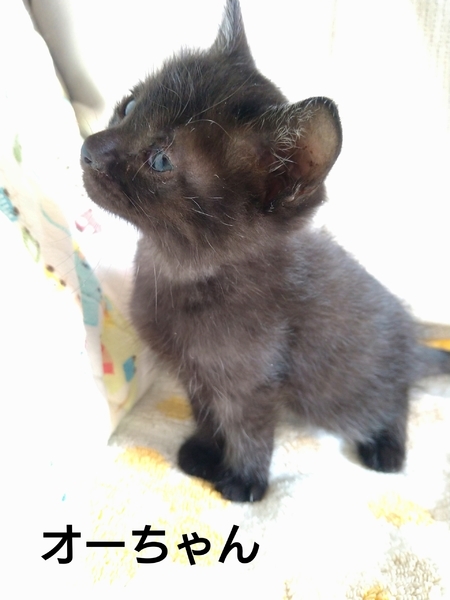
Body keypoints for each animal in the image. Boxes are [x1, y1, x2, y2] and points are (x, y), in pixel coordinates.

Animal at [81, 0, 450, 502]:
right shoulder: (199, 375)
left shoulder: (250, 380)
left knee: (392, 399)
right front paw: (204, 451)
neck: (176, 269)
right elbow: (205, 412)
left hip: (336, 388)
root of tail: (411, 336)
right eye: (131, 105)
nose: (89, 148)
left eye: (160, 160)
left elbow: (248, 428)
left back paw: (387, 447)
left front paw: (244, 480)